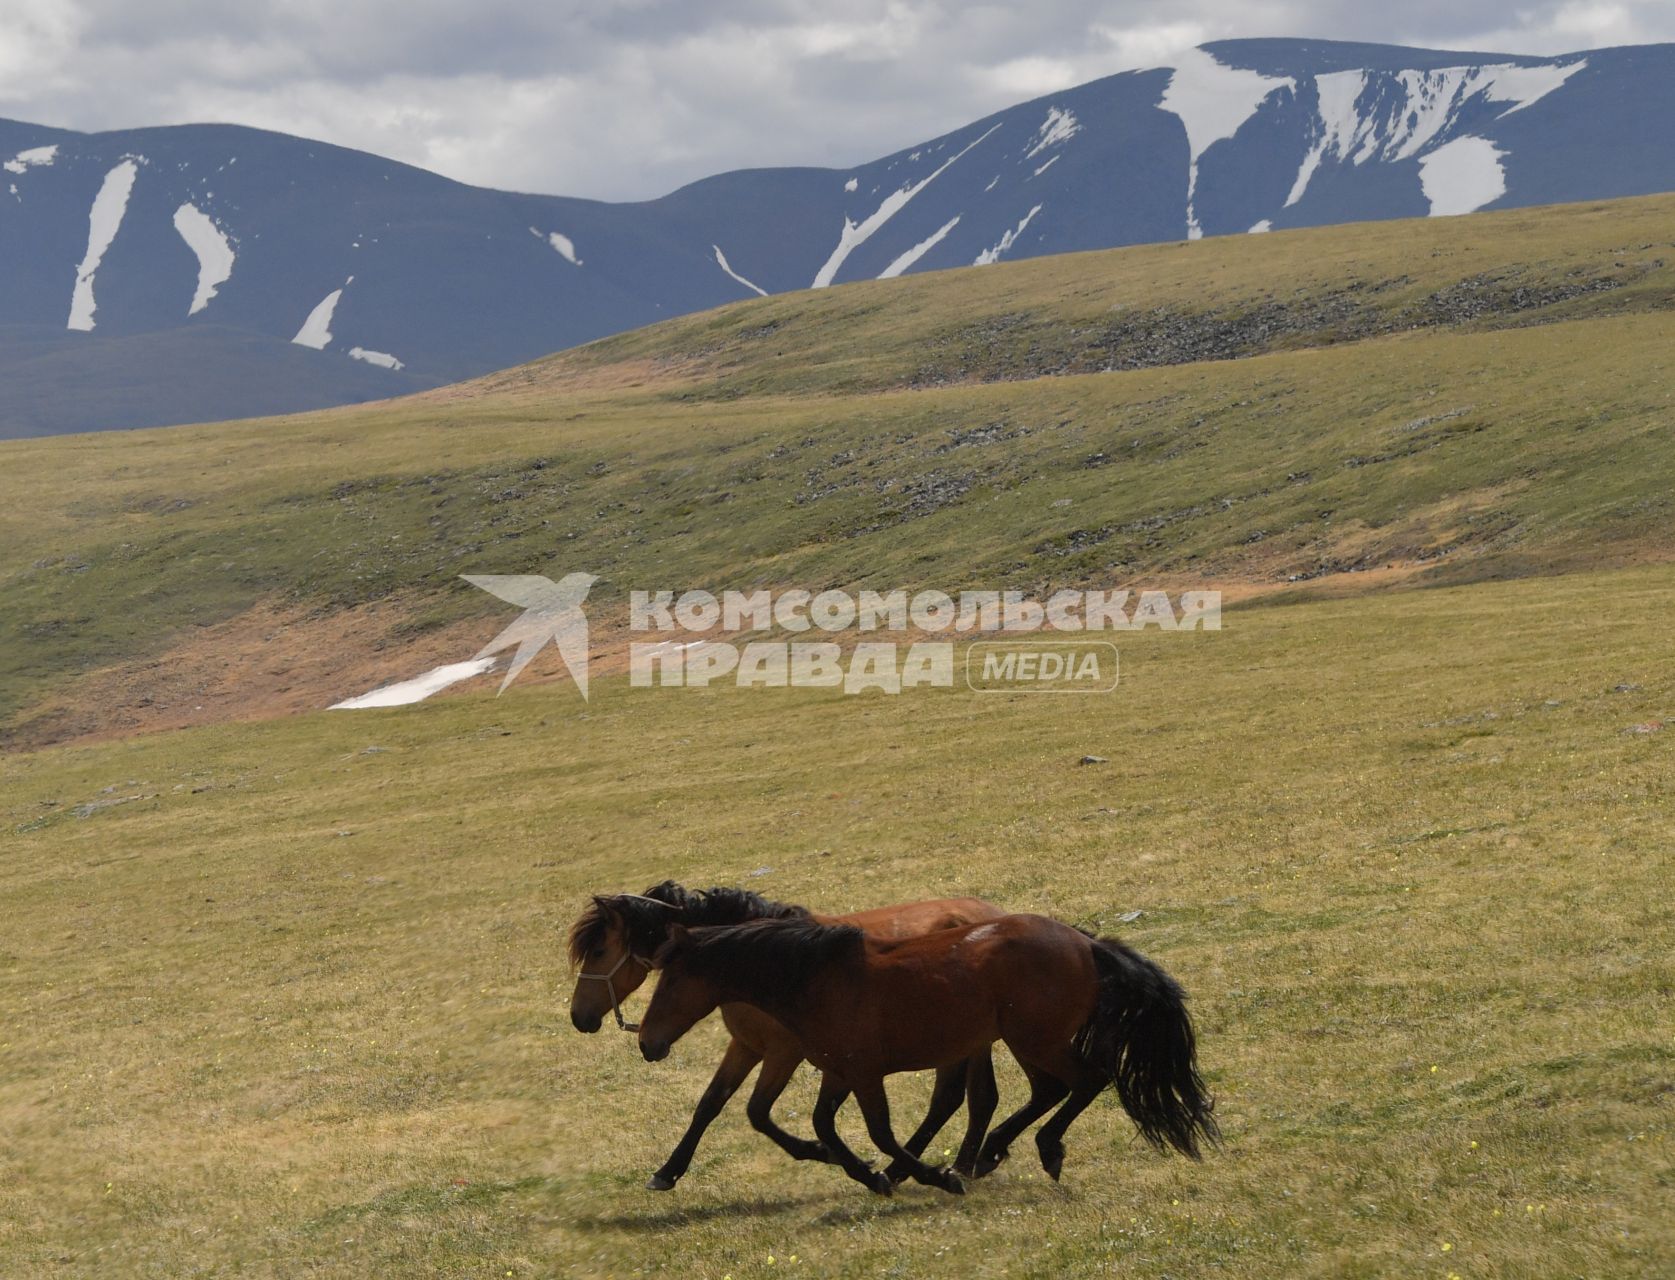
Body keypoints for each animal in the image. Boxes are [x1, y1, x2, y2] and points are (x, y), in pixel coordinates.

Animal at [569, 877, 998, 1192]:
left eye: (599, 951)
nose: (578, 1017)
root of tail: (994, 913)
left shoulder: (783, 1052)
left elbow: (758, 1111)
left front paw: (829, 1153)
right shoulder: (745, 1045)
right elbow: (711, 1103)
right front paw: (667, 1171)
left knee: (962, 1099)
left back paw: (937, 1167)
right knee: (971, 1099)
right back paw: (960, 1163)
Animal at [639, 918, 1219, 1192]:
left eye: (670, 982)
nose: (647, 1042)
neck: (818, 978)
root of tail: (1086, 944)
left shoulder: (864, 1074)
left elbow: (879, 1132)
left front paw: (928, 1177)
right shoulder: (838, 1072)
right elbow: (824, 1125)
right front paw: (872, 1176)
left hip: (1036, 1040)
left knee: (1088, 1079)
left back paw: (1040, 1150)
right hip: (1025, 1042)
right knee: (1050, 1089)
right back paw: (989, 1153)